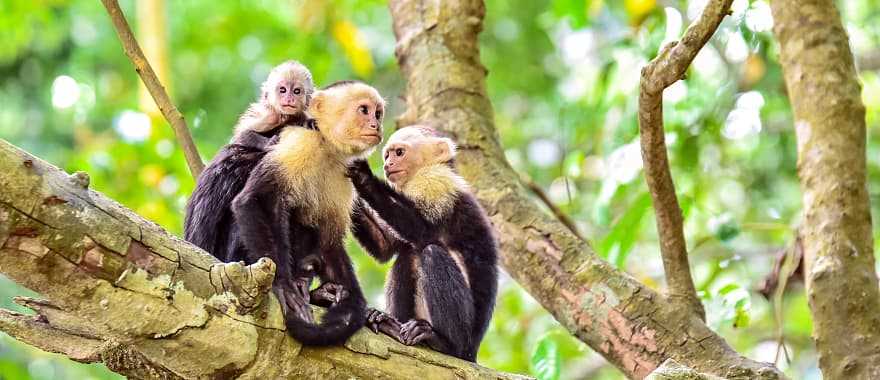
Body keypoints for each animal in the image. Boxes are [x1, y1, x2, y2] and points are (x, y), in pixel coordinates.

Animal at [230, 81, 384, 346]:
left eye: (378, 113)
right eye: (364, 110)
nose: (376, 125)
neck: (326, 146)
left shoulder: (344, 174)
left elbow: (329, 241)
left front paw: (354, 305)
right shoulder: (299, 143)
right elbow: (253, 200)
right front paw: (282, 285)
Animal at [348, 126, 498, 360]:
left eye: (399, 153)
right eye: (387, 155)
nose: (387, 165)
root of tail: (472, 352)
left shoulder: (435, 181)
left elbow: (423, 230)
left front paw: (363, 177)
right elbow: (386, 247)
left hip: (465, 339)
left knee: (430, 252)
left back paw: (443, 343)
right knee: (407, 256)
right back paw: (390, 324)